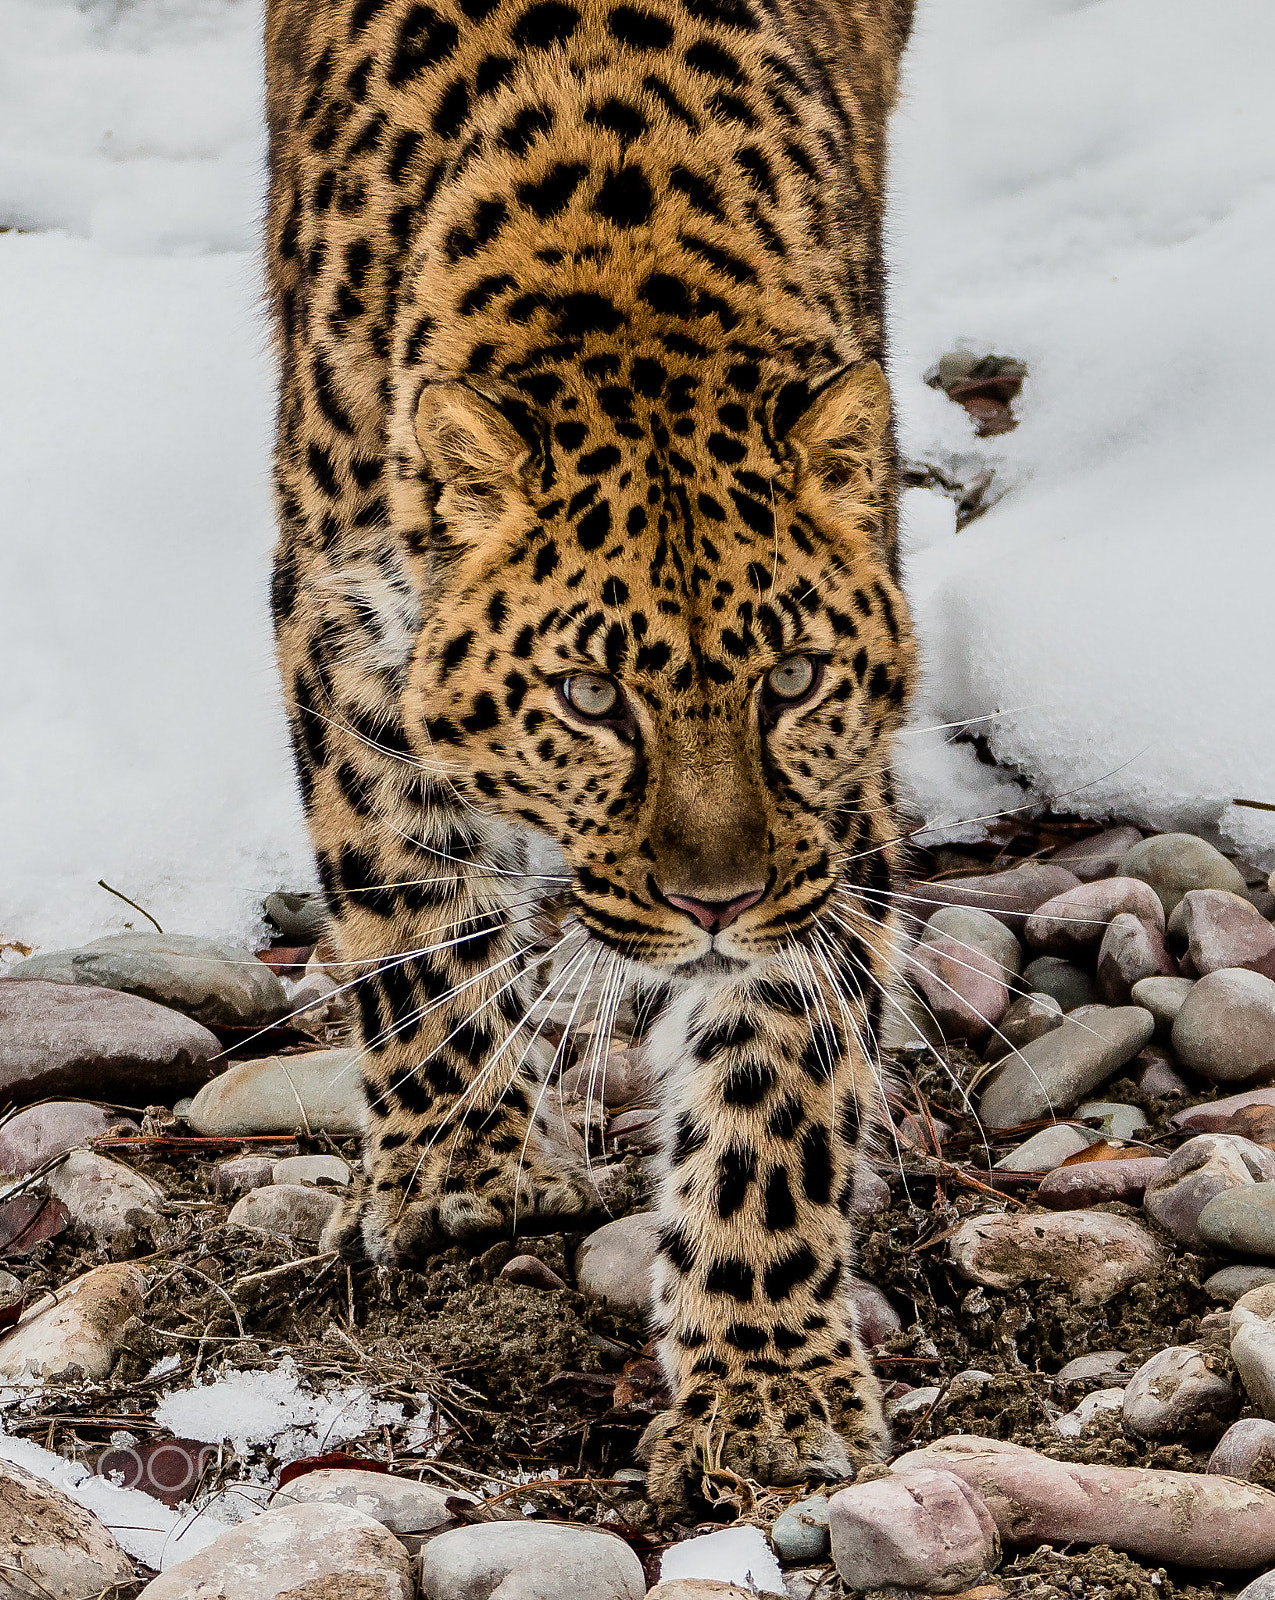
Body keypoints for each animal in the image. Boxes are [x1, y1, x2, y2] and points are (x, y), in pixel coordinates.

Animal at [265, 0, 918, 1516]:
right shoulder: (336, 624)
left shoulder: (828, 820)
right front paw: (464, 1171)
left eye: (790, 679)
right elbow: (409, 918)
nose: (713, 903)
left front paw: (766, 1394)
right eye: (586, 695)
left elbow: (774, 1089)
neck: (622, 267)